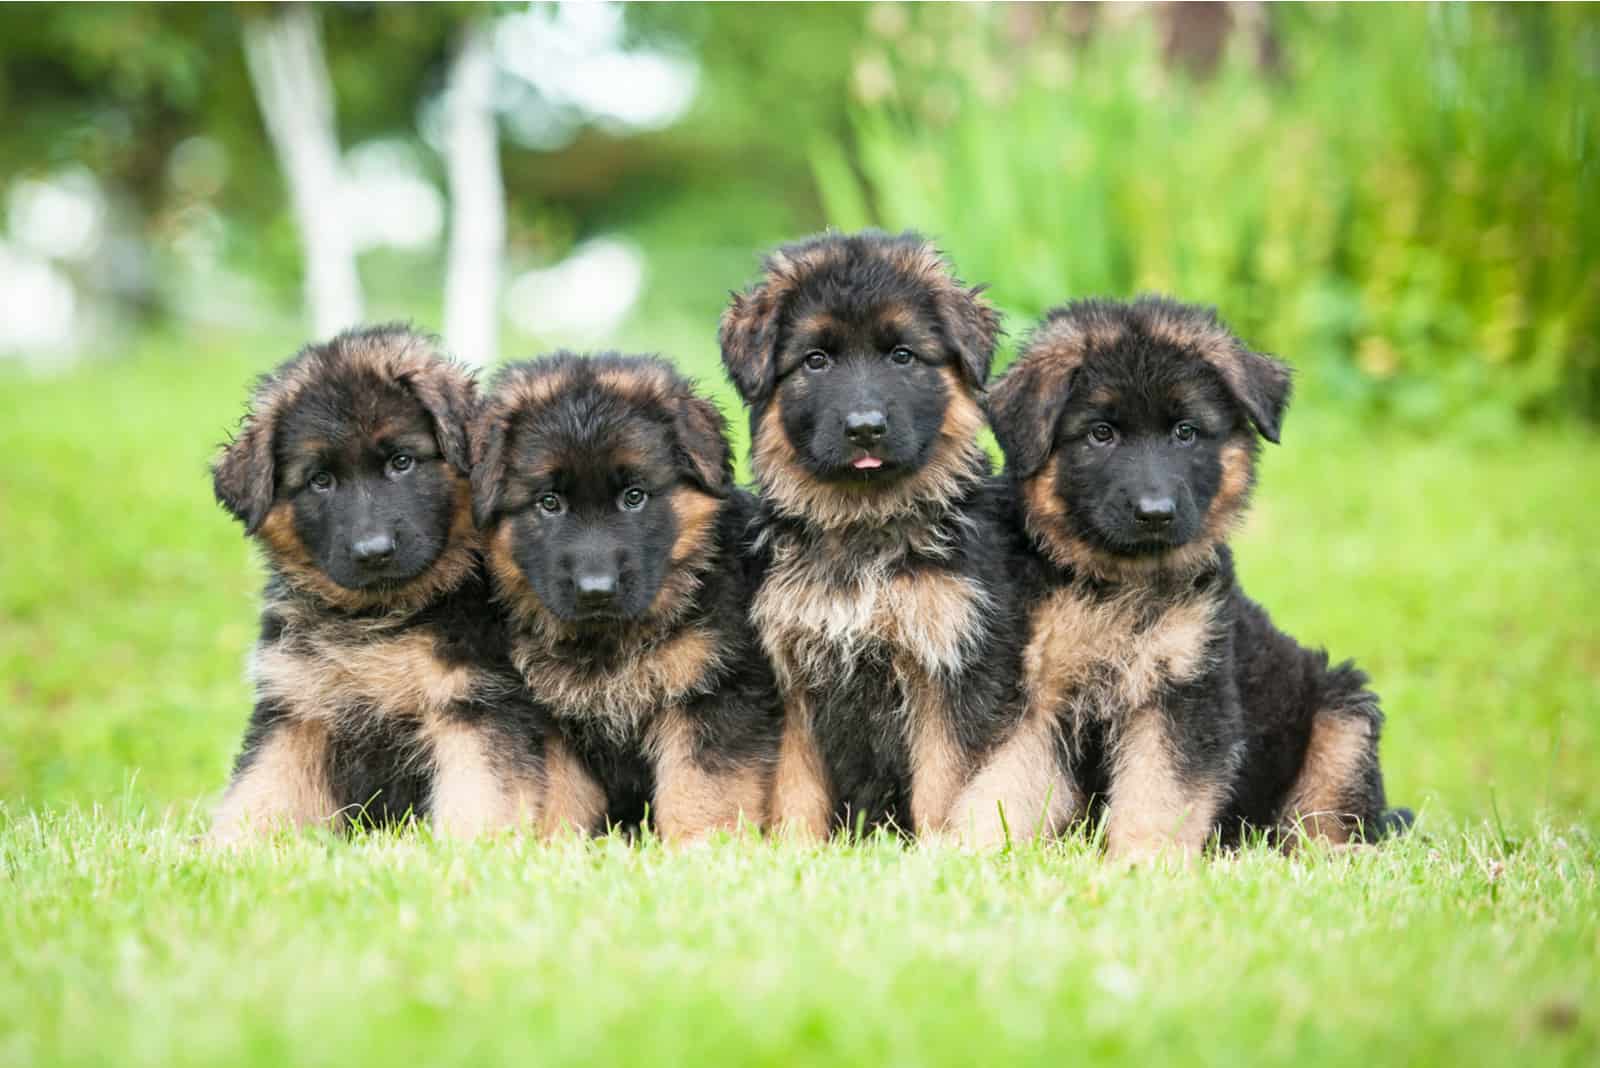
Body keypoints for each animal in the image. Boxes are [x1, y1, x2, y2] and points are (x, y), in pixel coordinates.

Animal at [208, 326, 556, 844]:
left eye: (401, 461)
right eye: (320, 480)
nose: (373, 552)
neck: (380, 617)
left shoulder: (473, 703)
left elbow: (480, 795)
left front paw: (472, 849)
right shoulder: (294, 707)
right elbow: (258, 790)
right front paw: (220, 850)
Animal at [467, 354, 780, 837]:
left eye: (634, 496)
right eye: (549, 503)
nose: (597, 591)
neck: (610, 642)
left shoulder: (714, 693)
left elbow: (700, 792)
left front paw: (702, 846)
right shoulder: (550, 722)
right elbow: (559, 800)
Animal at [720, 231, 1030, 844]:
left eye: (902, 356)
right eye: (816, 360)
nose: (865, 428)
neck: (864, 528)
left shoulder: (948, 669)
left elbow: (941, 784)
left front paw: (938, 852)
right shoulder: (790, 676)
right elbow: (795, 787)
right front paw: (794, 851)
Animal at [979, 298, 1408, 856]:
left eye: (1186, 432)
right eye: (1101, 433)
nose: (1155, 513)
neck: (1118, 582)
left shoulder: (1184, 694)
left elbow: (1159, 792)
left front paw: (1143, 860)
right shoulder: (1032, 693)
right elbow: (1003, 780)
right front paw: (969, 849)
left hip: (1342, 719)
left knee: (1326, 823)